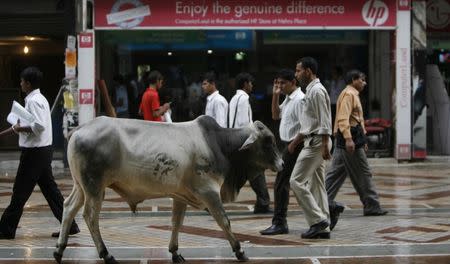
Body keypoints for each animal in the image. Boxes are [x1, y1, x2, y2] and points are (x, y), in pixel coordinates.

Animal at [54, 116, 284, 264]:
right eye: (268, 141)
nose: (282, 164)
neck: (220, 144)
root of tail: (78, 129)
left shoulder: (180, 195)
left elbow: (176, 223)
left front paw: (174, 252)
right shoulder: (209, 192)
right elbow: (224, 221)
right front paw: (239, 250)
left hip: (81, 187)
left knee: (68, 207)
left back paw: (59, 249)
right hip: (94, 187)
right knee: (90, 216)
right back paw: (106, 254)